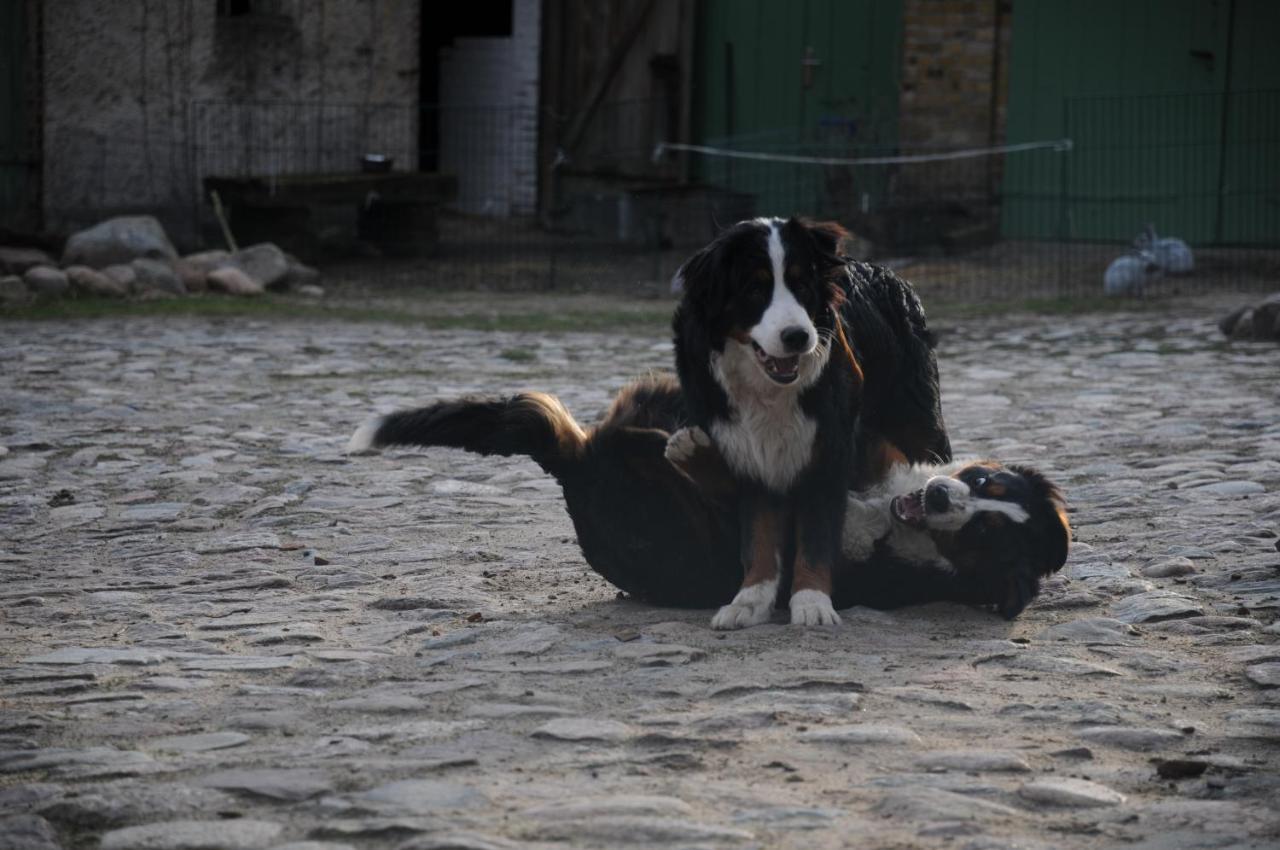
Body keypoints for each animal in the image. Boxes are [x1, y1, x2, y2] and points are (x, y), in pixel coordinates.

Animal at [670, 217, 952, 629]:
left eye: (802, 286)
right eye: (755, 289)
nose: (798, 336)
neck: (770, 390)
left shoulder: (827, 448)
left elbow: (816, 535)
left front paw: (812, 602)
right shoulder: (750, 451)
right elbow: (759, 536)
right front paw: (750, 600)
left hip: (918, 420)